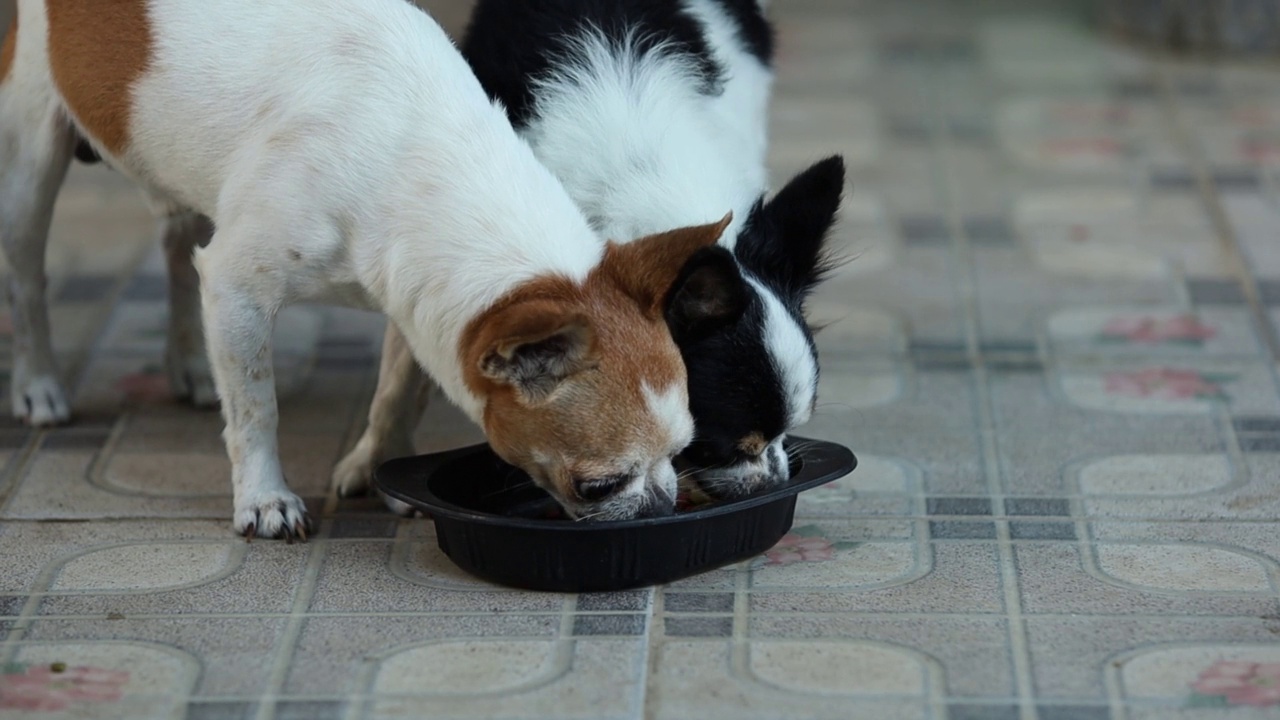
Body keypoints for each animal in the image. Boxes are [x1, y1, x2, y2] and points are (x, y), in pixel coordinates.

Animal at [0, 0, 742, 532]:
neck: (418, 153)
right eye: (601, 485)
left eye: (683, 451)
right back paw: (38, 384)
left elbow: (395, 388)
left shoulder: (420, 304)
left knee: (178, 252)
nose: (661, 505)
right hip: (31, 149)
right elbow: (256, 405)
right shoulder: (239, 289)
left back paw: (187, 361)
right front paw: (264, 498)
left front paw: (378, 462)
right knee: (27, 276)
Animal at [335, 0, 844, 504]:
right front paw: (373, 459)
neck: (640, 177)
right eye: (732, 446)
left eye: (786, 435)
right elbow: (398, 377)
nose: (776, 482)